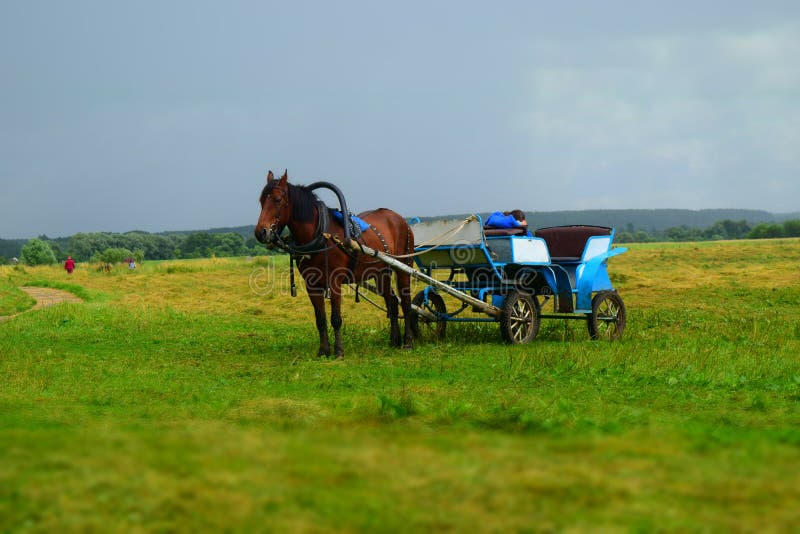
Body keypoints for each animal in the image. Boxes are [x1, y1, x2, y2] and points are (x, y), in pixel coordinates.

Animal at [255, 171, 418, 356]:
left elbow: (336, 318)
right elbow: (320, 319)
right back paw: (394, 340)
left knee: (406, 303)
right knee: (392, 302)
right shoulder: (312, 284)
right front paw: (323, 350)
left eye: (277, 200)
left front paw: (338, 351)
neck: (320, 234)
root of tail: (399, 219)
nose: (261, 232)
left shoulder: (334, 281)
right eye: (261, 201)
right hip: (381, 273)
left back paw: (408, 341)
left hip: (404, 265)